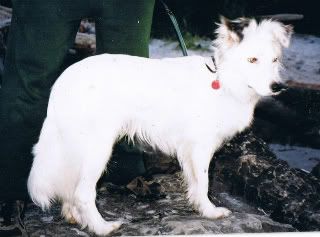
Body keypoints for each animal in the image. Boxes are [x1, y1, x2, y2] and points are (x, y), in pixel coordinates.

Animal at [28, 17, 292, 235]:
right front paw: (210, 211)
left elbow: (195, 183)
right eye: (252, 60)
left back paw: (73, 216)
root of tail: (64, 79)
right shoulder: (200, 147)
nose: (278, 87)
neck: (223, 81)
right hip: (96, 148)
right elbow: (204, 182)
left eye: (275, 60)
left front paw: (199, 207)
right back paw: (102, 227)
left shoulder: (190, 150)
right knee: (83, 193)